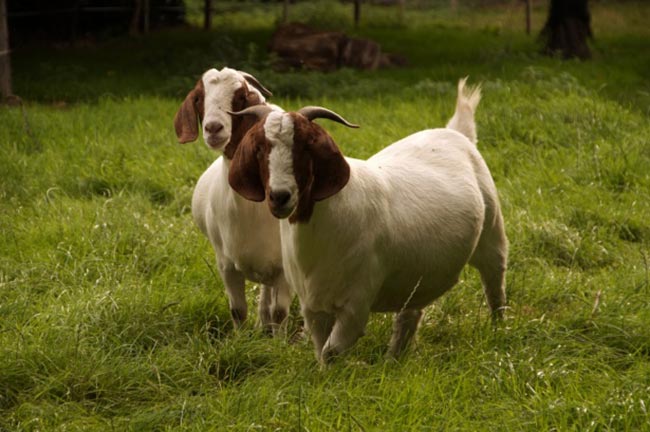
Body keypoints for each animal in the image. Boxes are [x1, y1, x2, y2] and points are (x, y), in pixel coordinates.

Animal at [174, 67, 292, 333]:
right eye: (199, 98)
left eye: (240, 97)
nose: (213, 128)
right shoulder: (226, 264)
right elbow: (238, 311)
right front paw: (241, 339)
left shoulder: (283, 267)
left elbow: (279, 312)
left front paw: (279, 341)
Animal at [227, 79, 507, 362]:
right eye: (259, 148)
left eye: (306, 145)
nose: (279, 196)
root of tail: (456, 133)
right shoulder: (313, 306)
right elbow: (321, 349)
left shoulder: (356, 304)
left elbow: (331, 351)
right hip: (415, 276)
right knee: (410, 313)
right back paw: (394, 359)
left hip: (492, 234)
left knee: (494, 285)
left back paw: (498, 331)